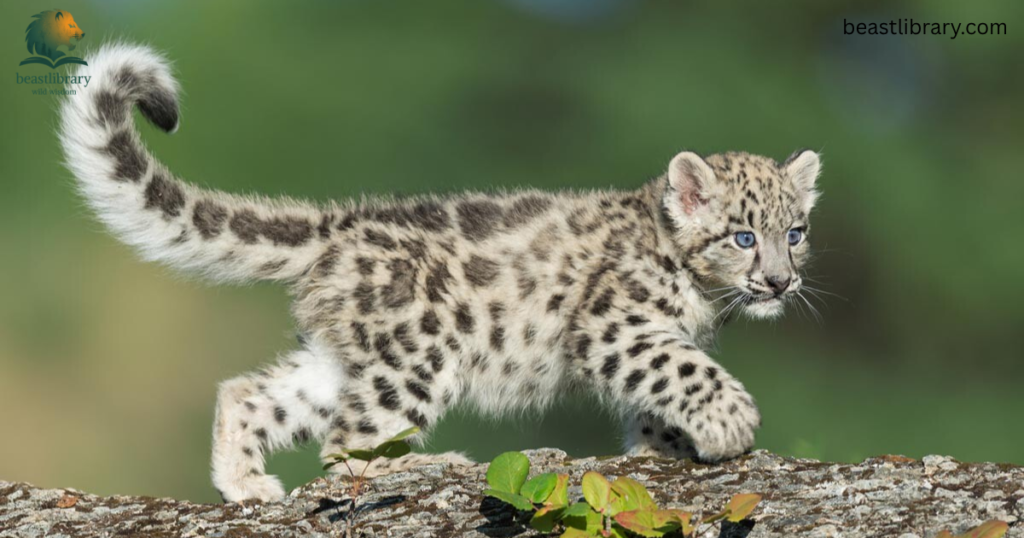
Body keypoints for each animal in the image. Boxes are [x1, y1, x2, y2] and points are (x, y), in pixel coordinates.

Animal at [59, 44, 822, 502]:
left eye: (796, 233)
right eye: (743, 236)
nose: (780, 282)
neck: (702, 297)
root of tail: (339, 224)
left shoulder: (647, 336)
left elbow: (658, 395)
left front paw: (664, 448)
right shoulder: (617, 326)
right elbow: (682, 369)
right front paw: (731, 423)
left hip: (347, 358)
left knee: (252, 394)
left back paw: (246, 486)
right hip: (417, 354)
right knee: (348, 446)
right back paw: (433, 464)